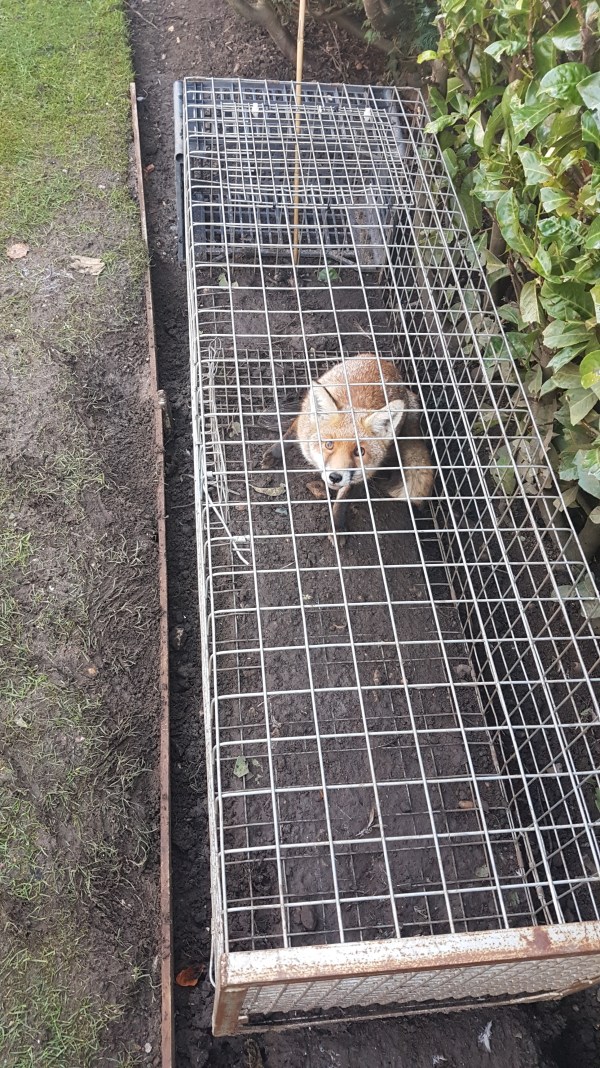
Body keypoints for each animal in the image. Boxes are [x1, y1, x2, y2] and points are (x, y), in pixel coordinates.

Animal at [262, 353, 435, 542]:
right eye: (329, 444)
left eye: (359, 451)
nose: (335, 477)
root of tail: (381, 360)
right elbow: (291, 434)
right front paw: (276, 452)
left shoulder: (361, 474)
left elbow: (343, 499)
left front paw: (337, 526)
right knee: (294, 425)